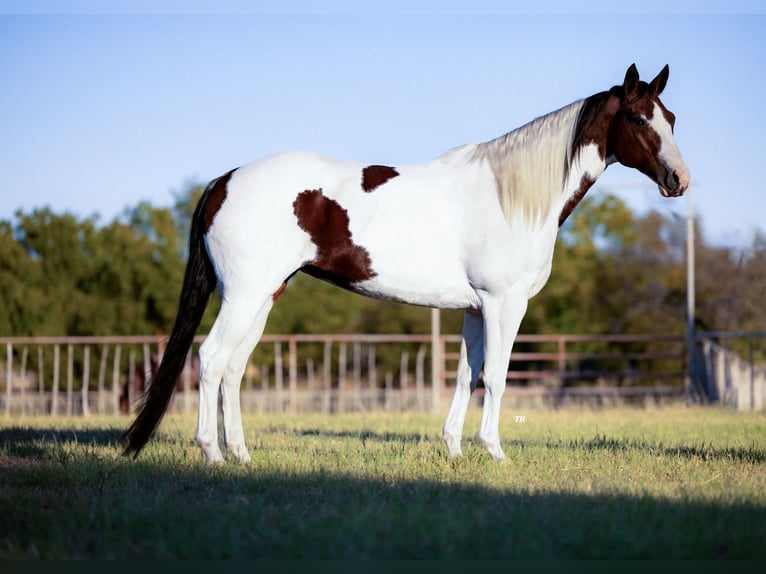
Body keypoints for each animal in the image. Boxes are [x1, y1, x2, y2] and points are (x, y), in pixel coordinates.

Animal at [120, 65, 688, 466]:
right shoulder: (504, 304)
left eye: (672, 119)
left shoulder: (475, 309)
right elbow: (498, 376)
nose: (678, 180)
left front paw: (454, 449)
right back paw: (212, 454)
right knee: (211, 360)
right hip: (243, 296)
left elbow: (466, 375)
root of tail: (225, 179)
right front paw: (495, 452)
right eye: (639, 119)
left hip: (263, 296)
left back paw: (240, 454)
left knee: (233, 369)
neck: (512, 196)